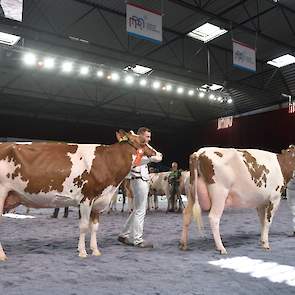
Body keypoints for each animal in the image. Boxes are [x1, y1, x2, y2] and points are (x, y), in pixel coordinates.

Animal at [0, 131, 162, 260]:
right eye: (143, 141)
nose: (160, 154)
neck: (106, 161)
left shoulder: (98, 201)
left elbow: (94, 227)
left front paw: (95, 250)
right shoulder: (87, 198)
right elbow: (84, 226)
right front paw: (83, 252)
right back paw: (2, 256)